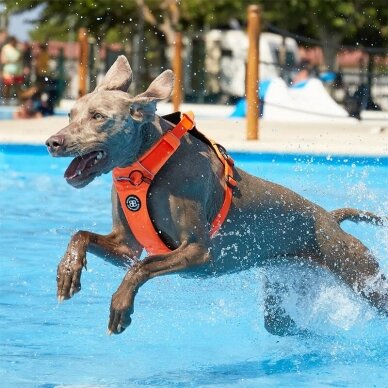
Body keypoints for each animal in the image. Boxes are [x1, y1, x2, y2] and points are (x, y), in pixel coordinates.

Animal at [44, 56, 384, 334]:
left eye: (98, 117)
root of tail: (331, 219)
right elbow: (82, 236)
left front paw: (120, 307)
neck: (149, 163)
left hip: (361, 275)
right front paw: (68, 271)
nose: (52, 142)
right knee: (281, 325)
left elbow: (141, 268)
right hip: (286, 282)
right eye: (70, 114)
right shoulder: (126, 247)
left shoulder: (198, 252)